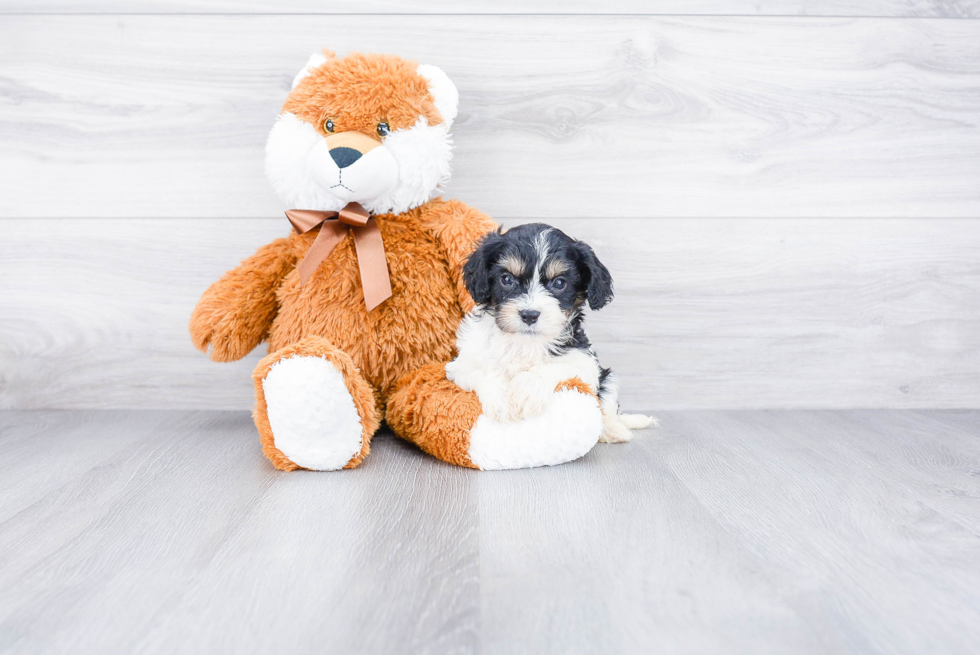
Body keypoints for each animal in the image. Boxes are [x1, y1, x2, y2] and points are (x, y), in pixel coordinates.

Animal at [448, 223, 656, 444]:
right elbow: (485, 370)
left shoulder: (585, 364)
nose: (529, 315)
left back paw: (613, 430)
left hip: (607, 378)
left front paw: (527, 389)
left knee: (607, 405)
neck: (524, 343)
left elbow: (557, 367)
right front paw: (502, 400)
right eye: (507, 279)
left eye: (559, 283)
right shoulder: (460, 364)